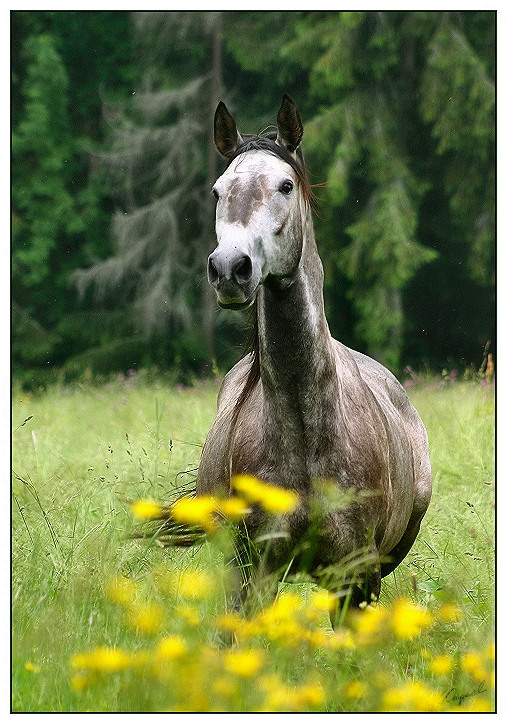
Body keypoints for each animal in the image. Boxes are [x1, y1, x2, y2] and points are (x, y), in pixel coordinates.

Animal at [196, 92, 430, 612]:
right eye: (218, 192)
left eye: (285, 185)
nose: (229, 269)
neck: (305, 430)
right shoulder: (254, 571)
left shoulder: (358, 577)